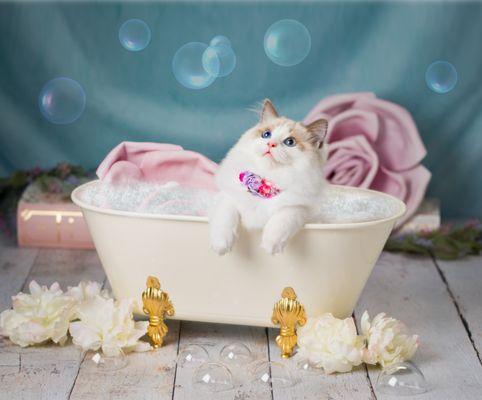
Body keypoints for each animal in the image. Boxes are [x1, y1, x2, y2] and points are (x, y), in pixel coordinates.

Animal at [210, 100, 328, 256]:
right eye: (266, 134)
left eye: (290, 142)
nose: (270, 144)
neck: (266, 180)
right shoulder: (228, 195)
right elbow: (224, 216)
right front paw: (221, 246)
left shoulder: (301, 207)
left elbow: (283, 218)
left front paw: (270, 245)